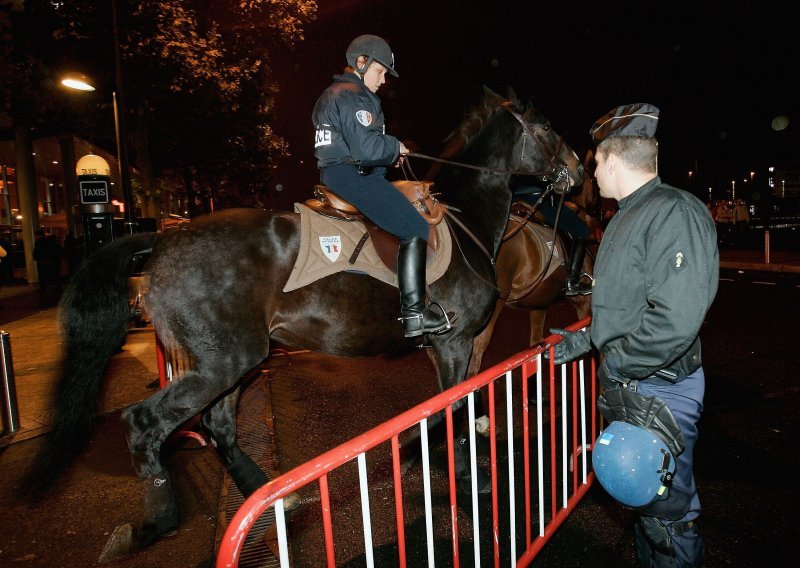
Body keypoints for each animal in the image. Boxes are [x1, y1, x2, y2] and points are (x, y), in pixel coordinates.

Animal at [20, 87, 580, 552]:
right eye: (547, 127)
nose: (575, 171)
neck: (466, 222)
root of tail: (162, 239)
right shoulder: (454, 341)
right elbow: (456, 406)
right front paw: (468, 474)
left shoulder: (456, 345)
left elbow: (448, 408)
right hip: (221, 364)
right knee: (145, 423)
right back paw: (160, 522)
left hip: (235, 361)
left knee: (219, 425)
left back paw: (271, 499)